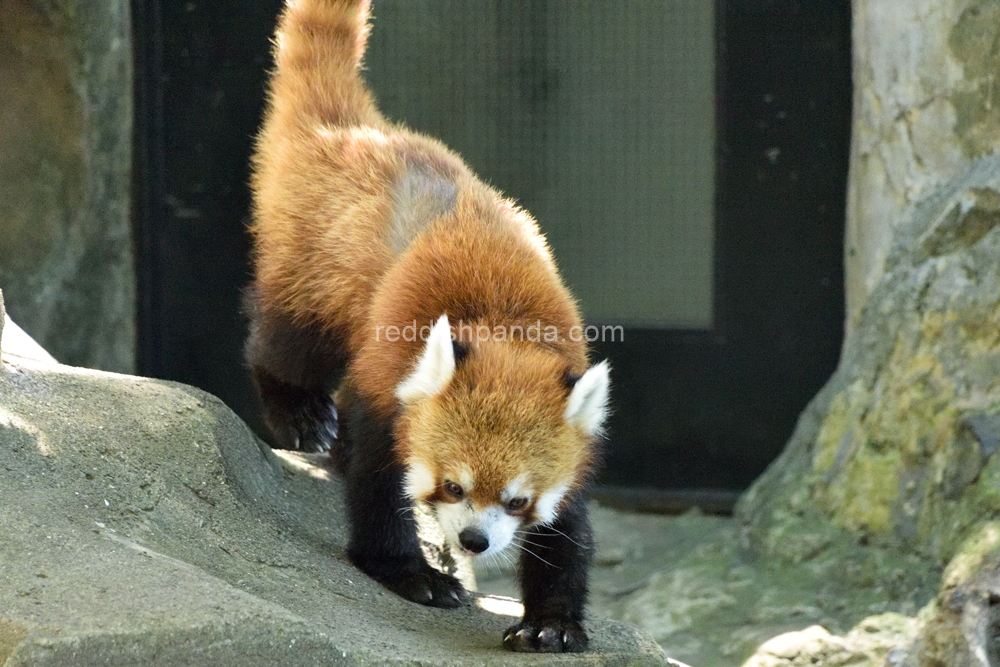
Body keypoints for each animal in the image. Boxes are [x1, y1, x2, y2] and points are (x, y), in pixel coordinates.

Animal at [246, 0, 612, 652]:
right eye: (453, 487)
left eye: (517, 501)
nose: (473, 541)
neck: (503, 329)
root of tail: (356, 129)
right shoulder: (393, 371)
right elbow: (378, 484)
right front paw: (408, 573)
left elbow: (568, 531)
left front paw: (552, 621)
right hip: (314, 269)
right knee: (286, 342)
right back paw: (301, 414)